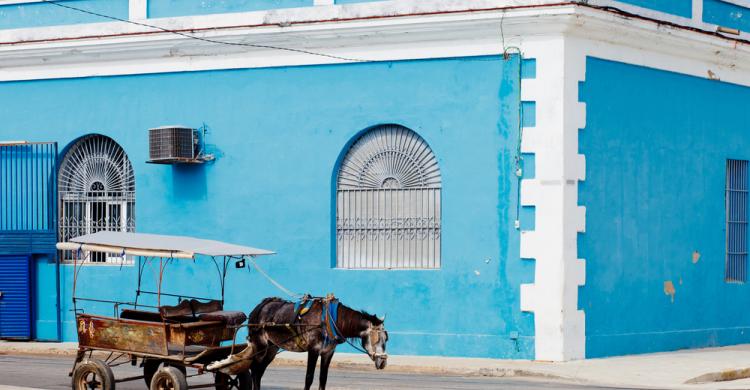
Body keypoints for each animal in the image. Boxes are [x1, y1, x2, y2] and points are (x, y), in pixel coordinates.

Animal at [210, 296, 390, 390]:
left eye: (386, 338)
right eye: (377, 338)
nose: (382, 362)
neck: (329, 320)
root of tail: (259, 306)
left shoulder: (328, 352)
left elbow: (323, 378)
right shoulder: (313, 350)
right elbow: (309, 378)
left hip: (272, 349)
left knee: (259, 372)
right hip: (260, 346)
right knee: (254, 370)